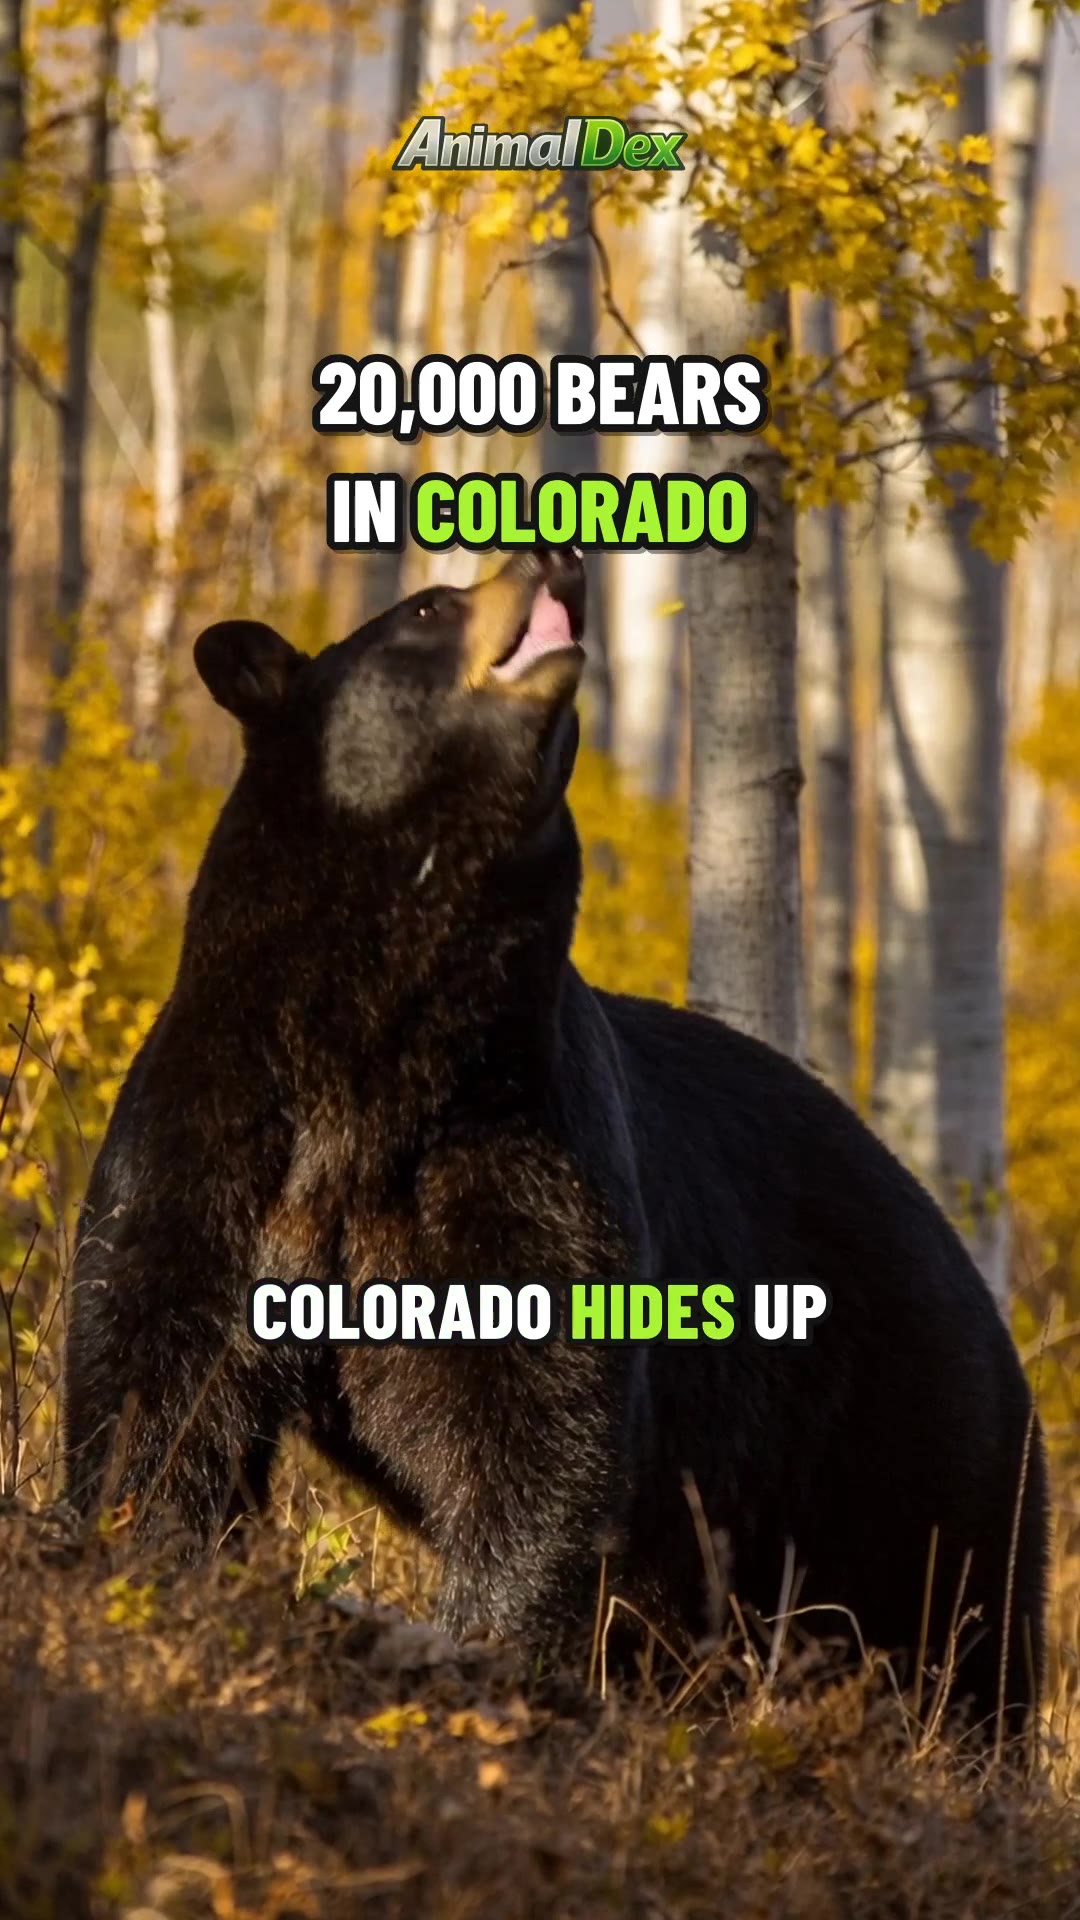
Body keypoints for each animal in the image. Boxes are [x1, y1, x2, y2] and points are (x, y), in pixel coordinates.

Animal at [63, 545, 1048, 1737]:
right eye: (428, 604)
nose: (560, 556)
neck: (383, 1052)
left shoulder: (525, 1143)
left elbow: (534, 1405)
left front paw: (490, 1643)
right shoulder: (222, 1125)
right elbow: (159, 1355)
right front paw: (142, 1548)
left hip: (918, 1452)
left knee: (964, 1633)